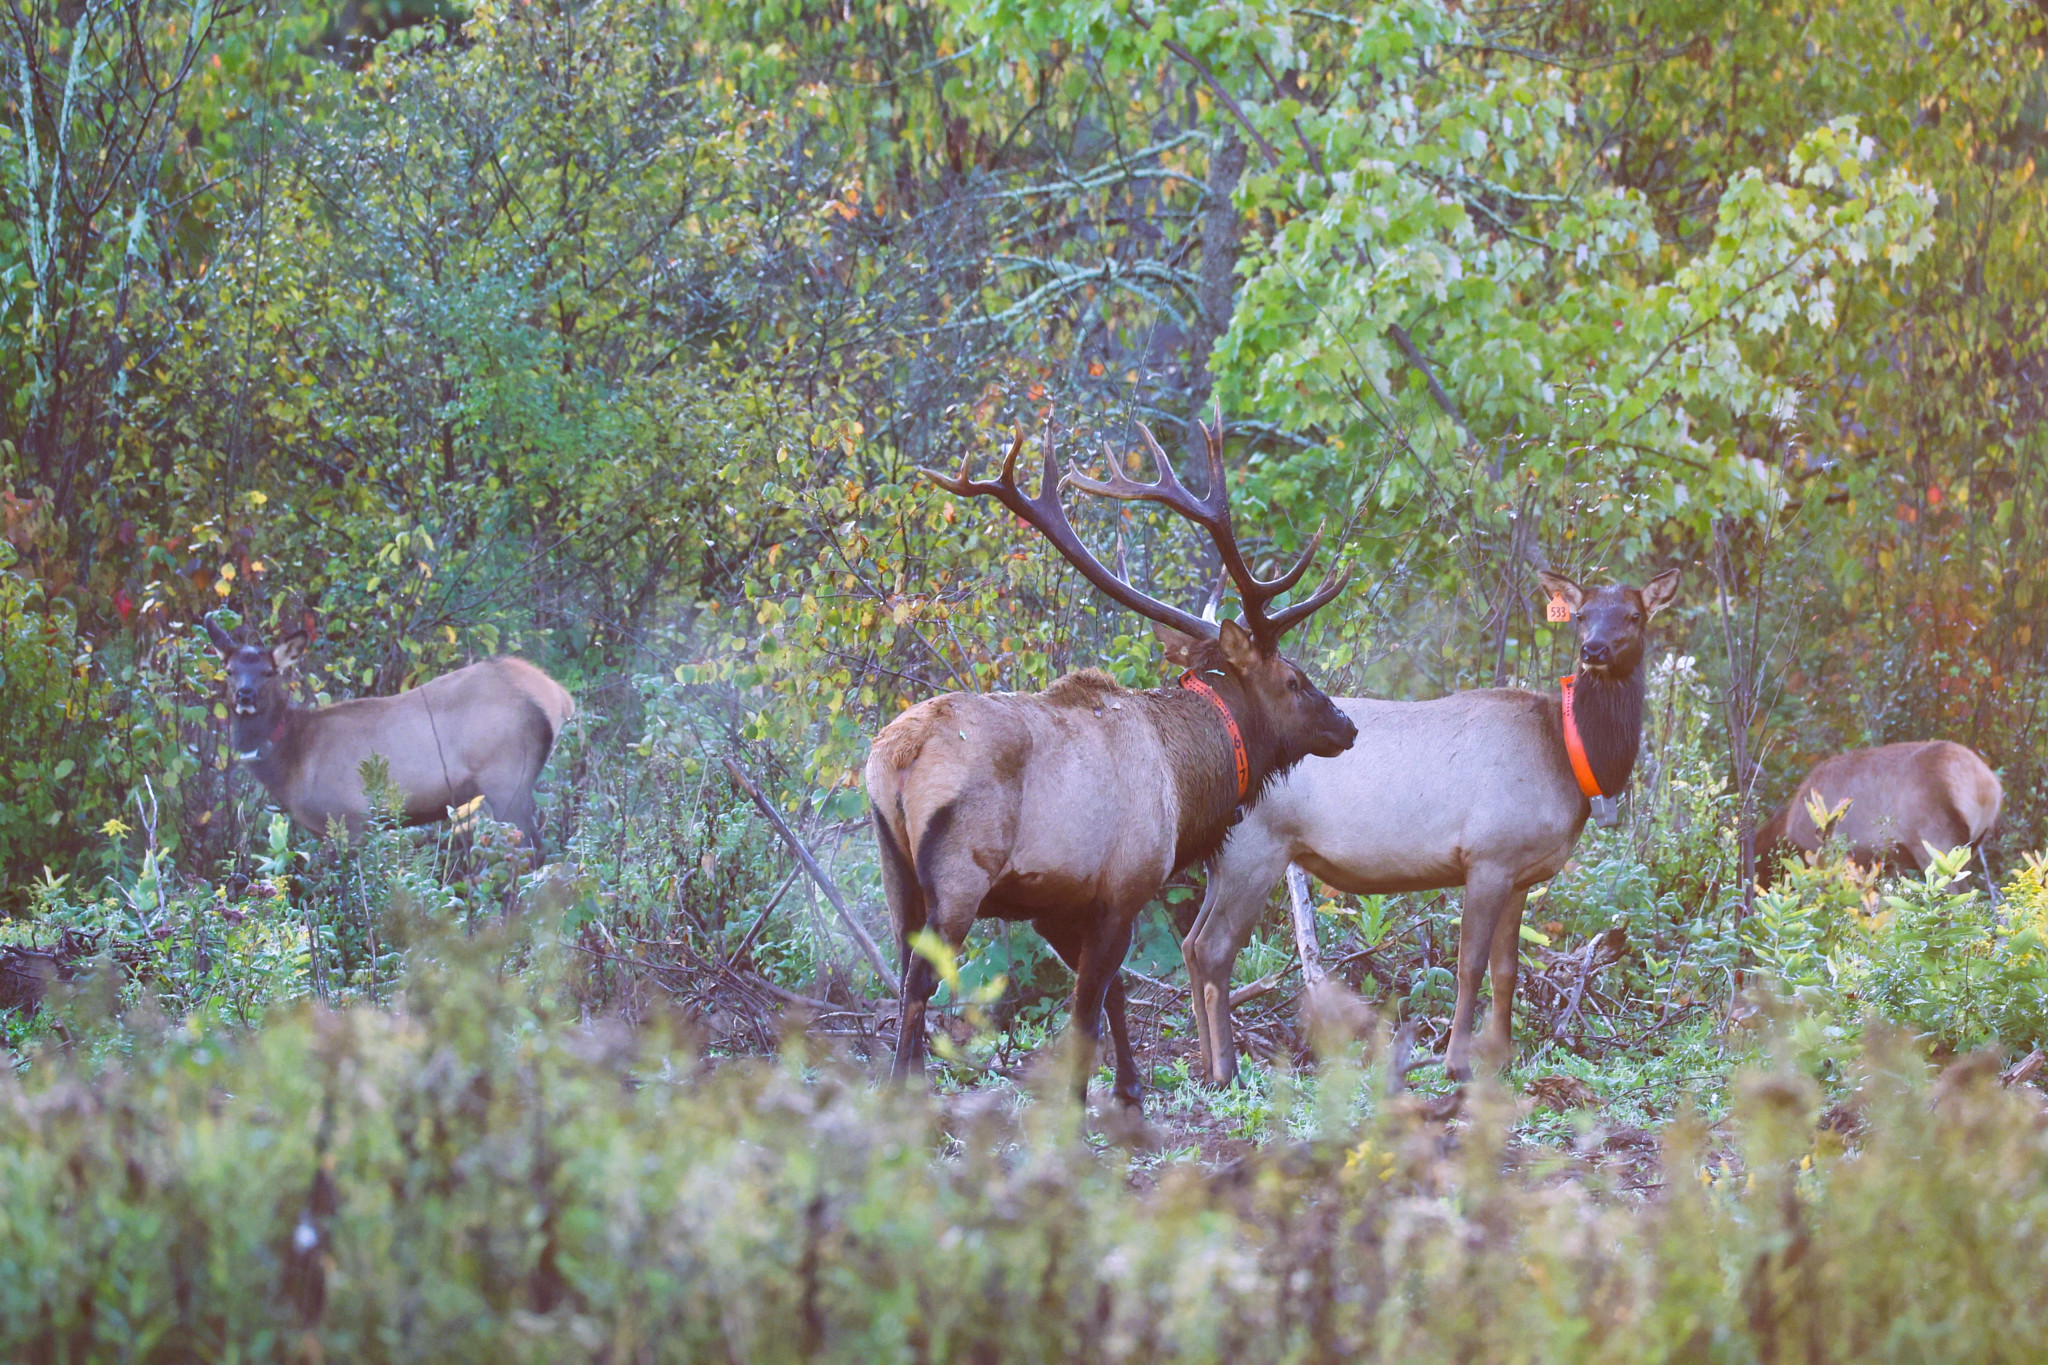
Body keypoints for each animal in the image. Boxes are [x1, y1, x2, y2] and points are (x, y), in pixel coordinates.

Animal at [205, 617, 576, 864]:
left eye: (268, 672)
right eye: (229, 670)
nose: (245, 695)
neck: (293, 759)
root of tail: (559, 696)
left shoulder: (349, 816)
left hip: (507, 776)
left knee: (532, 851)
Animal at [866, 415, 1358, 1111]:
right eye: (1294, 679)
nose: (1346, 725)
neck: (1186, 784)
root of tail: (896, 759)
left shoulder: (1055, 904)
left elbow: (1113, 993)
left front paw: (1128, 1085)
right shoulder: (1126, 884)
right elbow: (1087, 1007)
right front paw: (1085, 1098)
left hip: (893, 870)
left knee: (902, 970)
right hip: (961, 873)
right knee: (918, 983)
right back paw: (904, 1095)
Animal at [1182, 568, 1681, 1084]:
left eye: (1634, 615)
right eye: (1581, 615)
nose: (1593, 650)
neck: (1568, 758)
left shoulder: (1521, 873)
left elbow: (1507, 969)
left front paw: (1503, 1057)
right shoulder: (1488, 857)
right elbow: (1470, 965)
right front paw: (1457, 1062)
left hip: (1223, 859)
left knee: (1190, 945)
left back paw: (1205, 1063)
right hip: (1255, 851)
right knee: (1214, 948)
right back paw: (1226, 1070)